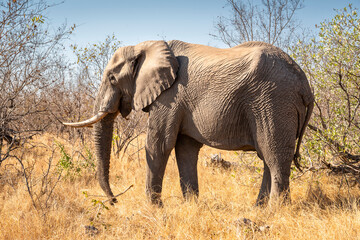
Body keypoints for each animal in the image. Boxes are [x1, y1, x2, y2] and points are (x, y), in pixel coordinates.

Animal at [63, 39, 314, 206]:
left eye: (112, 79)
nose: (115, 201)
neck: (145, 46)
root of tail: (305, 85)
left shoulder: (169, 97)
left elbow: (158, 145)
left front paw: (154, 208)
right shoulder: (179, 103)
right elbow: (185, 149)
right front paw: (191, 205)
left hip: (273, 102)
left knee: (275, 157)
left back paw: (275, 211)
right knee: (268, 157)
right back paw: (258, 208)